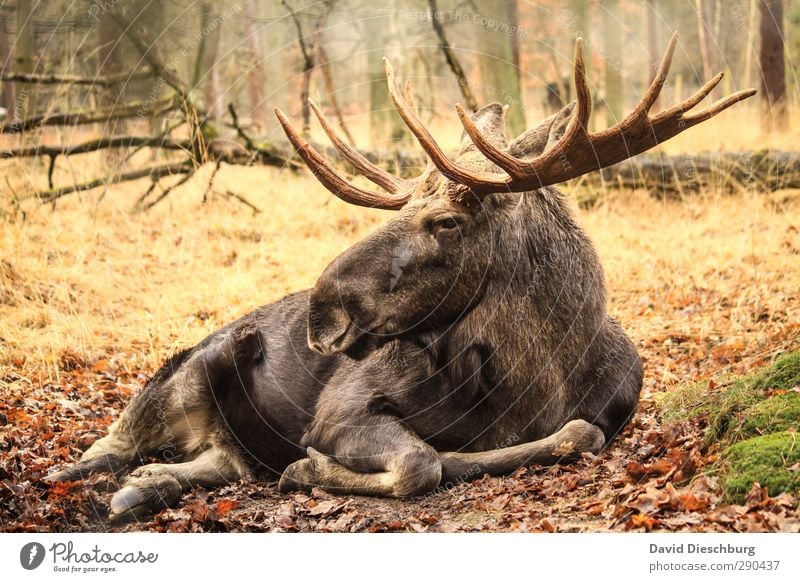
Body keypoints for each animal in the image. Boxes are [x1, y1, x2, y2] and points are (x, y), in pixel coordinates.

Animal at [47, 34, 752, 524]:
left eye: (444, 221)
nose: (322, 315)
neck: (539, 382)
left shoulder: (605, 411)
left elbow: (576, 433)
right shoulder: (340, 408)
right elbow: (421, 461)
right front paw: (309, 468)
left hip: (217, 434)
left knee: (217, 460)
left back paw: (151, 486)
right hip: (189, 369)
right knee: (106, 443)